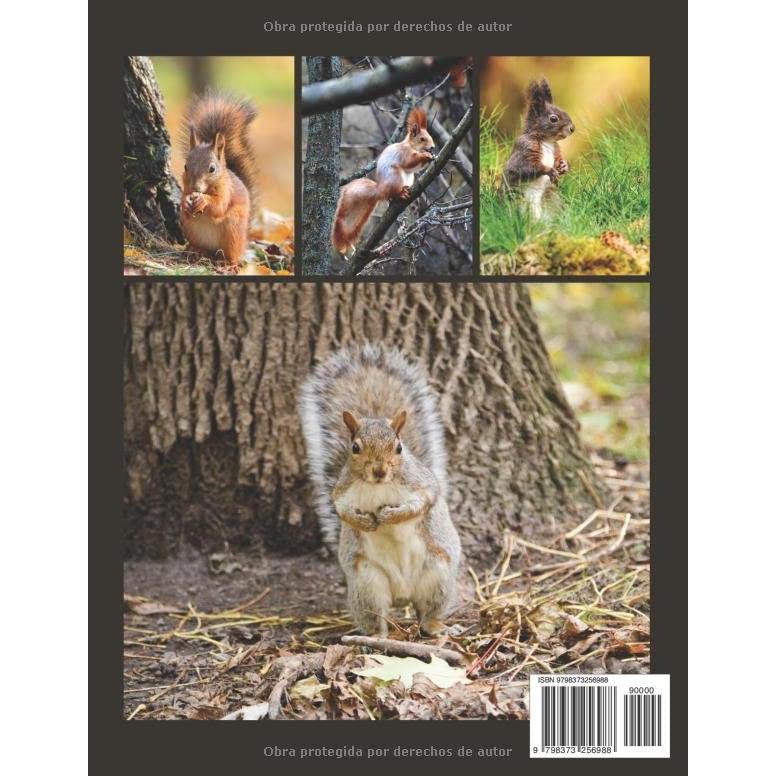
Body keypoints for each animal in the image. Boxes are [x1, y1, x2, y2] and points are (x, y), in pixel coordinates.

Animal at [180, 93, 259, 266]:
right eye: (185, 167)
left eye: (212, 169)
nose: (195, 188)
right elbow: (183, 201)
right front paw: (186, 201)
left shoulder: (226, 191)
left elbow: (219, 206)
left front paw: (203, 200)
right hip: (191, 230)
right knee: (202, 248)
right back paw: (195, 251)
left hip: (233, 231)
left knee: (232, 256)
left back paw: (228, 264)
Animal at [298, 344, 461, 637]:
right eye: (355, 447)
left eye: (398, 447)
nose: (379, 471)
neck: (378, 487)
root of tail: (403, 596)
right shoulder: (342, 492)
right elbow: (341, 511)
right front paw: (364, 521)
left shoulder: (422, 485)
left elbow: (421, 503)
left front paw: (389, 516)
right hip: (367, 584)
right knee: (376, 617)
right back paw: (376, 636)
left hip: (438, 576)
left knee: (428, 614)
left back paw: (438, 627)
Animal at [331, 107, 436, 256]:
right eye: (422, 139)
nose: (432, 147)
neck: (410, 146)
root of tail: (380, 190)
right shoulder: (403, 153)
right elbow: (410, 161)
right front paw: (425, 156)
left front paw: (430, 157)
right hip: (395, 176)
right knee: (392, 192)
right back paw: (401, 193)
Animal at [503, 79, 575, 220]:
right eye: (553, 119)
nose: (572, 128)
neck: (547, 141)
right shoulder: (524, 149)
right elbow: (523, 167)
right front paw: (549, 170)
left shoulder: (556, 150)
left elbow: (559, 160)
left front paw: (564, 166)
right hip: (517, 200)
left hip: (551, 197)